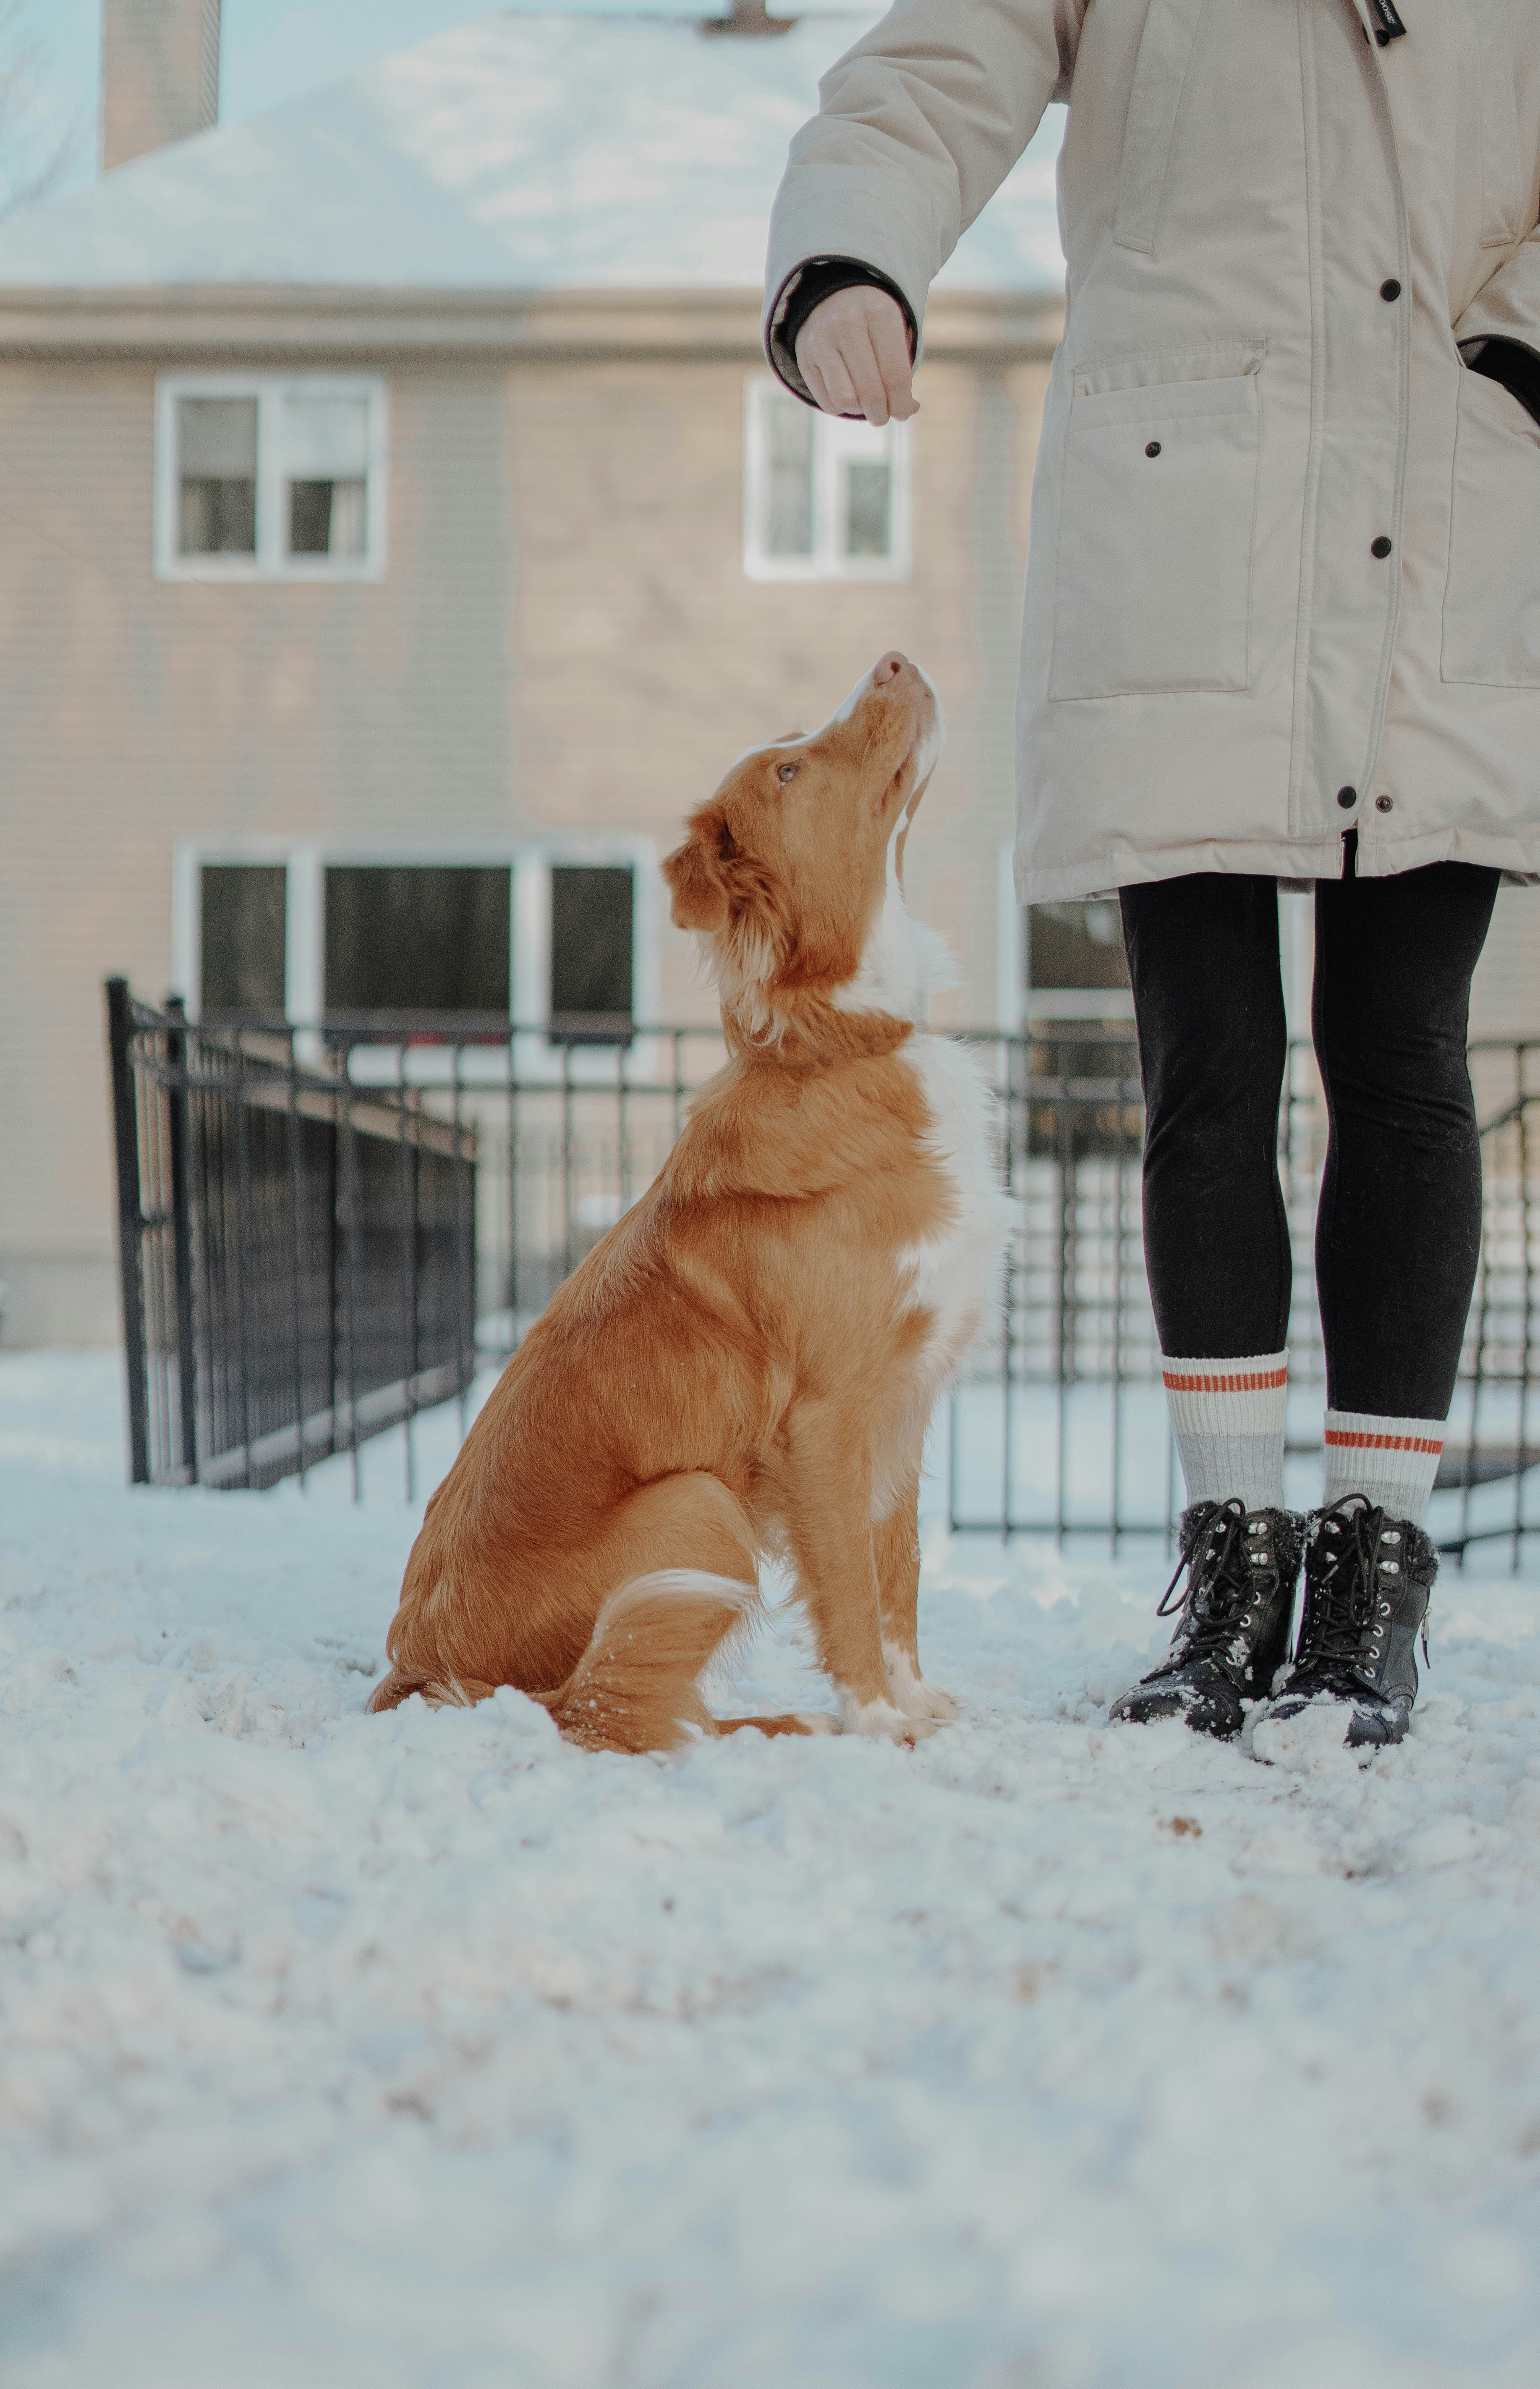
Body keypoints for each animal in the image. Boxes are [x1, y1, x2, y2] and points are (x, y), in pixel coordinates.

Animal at [370, 655, 1007, 1758]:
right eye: (789, 770)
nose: (891, 660)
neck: (840, 1042)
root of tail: (423, 1673)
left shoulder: (902, 1402)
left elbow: (899, 1570)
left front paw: (914, 1698)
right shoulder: (826, 1419)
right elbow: (850, 1584)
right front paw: (879, 1720)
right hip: (697, 1505)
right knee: (614, 1712)